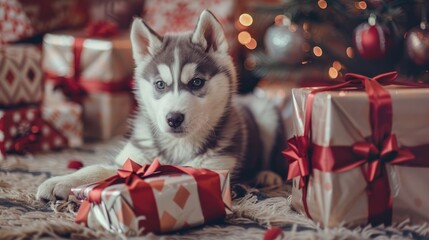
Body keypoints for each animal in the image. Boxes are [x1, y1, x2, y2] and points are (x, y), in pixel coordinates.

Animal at [36, 9, 284, 202]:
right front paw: (62, 181)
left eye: (196, 82)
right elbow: (97, 168)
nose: (173, 118)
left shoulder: (214, 168)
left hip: (265, 113)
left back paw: (266, 175)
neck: (177, 147)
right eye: (160, 84)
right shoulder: (135, 158)